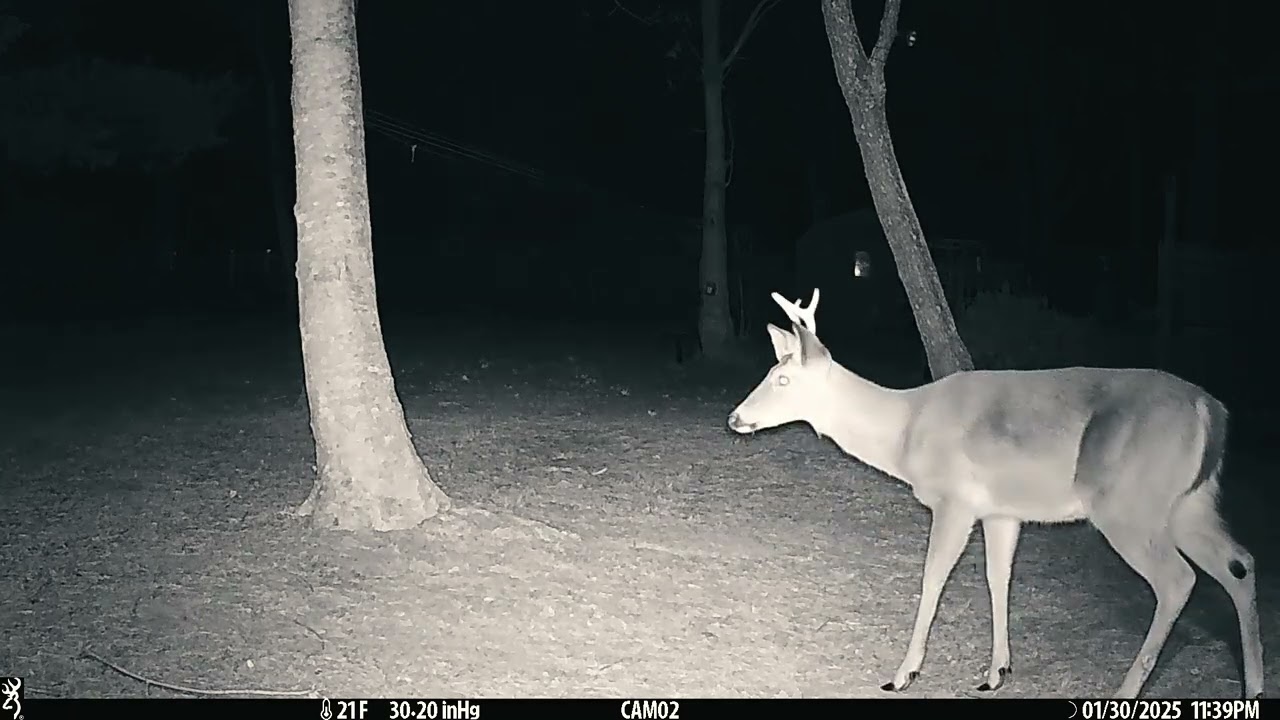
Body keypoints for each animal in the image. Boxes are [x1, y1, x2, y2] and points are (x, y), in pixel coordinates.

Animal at [726, 288, 1263, 699]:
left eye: (782, 378)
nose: (735, 417)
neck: (904, 430)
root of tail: (1211, 410)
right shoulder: (1002, 510)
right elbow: (997, 578)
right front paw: (996, 672)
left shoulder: (955, 500)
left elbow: (933, 578)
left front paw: (903, 673)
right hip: (1188, 502)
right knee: (1240, 562)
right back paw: (1254, 684)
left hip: (1128, 501)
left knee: (1178, 580)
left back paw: (1127, 689)